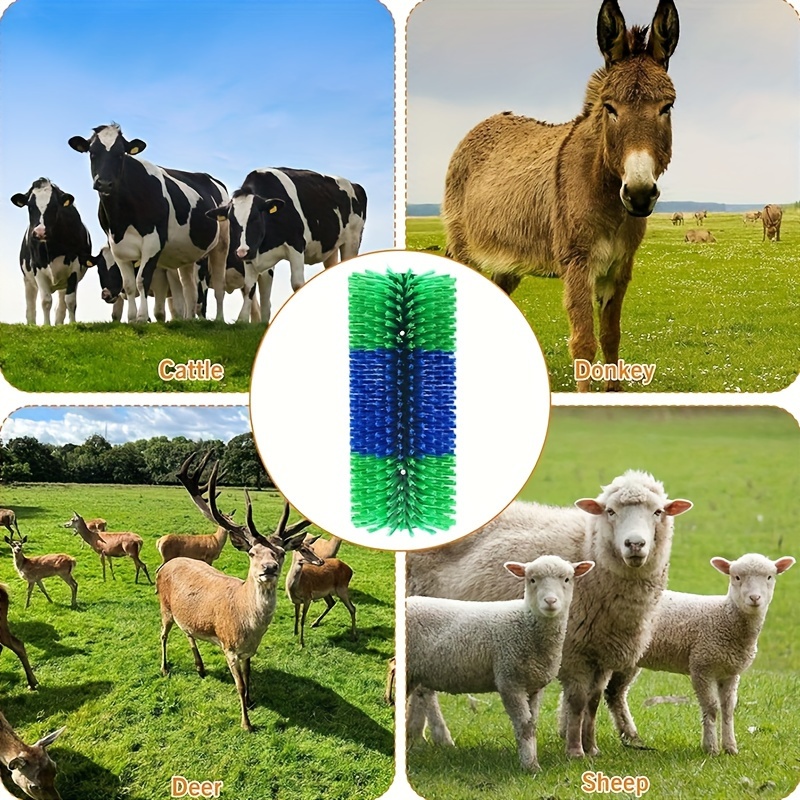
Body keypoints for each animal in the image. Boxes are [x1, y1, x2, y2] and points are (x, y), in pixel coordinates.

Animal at [11, 178, 93, 325]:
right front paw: (46, 326)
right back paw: (31, 324)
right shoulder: (37, 267)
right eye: (30, 207)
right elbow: (46, 300)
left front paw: (73, 324)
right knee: (30, 306)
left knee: (61, 305)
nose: (40, 232)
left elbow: (70, 301)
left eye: (54, 207)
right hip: (28, 280)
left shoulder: (75, 267)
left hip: (64, 282)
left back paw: (59, 324)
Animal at [68, 124, 230, 323]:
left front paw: (142, 317)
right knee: (189, 289)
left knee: (219, 285)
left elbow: (142, 280)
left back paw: (219, 319)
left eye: (120, 154)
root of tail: (208, 177)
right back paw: (188, 320)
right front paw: (131, 319)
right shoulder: (116, 247)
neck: (121, 220)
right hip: (187, 253)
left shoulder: (153, 242)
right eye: (92, 153)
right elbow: (129, 285)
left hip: (221, 244)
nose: (104, 183)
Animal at [206, 168, 367, 323]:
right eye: (231, 220)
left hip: (352, 240)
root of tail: (354, 185)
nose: (241, 252)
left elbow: (297, 284)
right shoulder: (251, 253)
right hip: (330, 248)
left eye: (255, 217)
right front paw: (244, 319)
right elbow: (249, 287)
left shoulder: (296, 245)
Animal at [407, 556, 595, 771]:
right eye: (532, 580)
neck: (525, 623)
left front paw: (532, 759)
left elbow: (532, 724)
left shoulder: (533, 686)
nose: (550, 601)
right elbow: (524, 725)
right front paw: (530, 766)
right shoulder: (509, 680)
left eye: (566, 579)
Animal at [604, 553, 795, 755]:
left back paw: (631, 737)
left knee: (615, 694)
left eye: (769, 577)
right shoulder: (701, 666)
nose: (754, 598)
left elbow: (728, 708)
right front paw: (710, 748)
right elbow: (711, 707)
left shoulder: (730, 672)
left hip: (627, 659)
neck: (724, 617)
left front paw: (730, 747)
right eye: (736, 577)